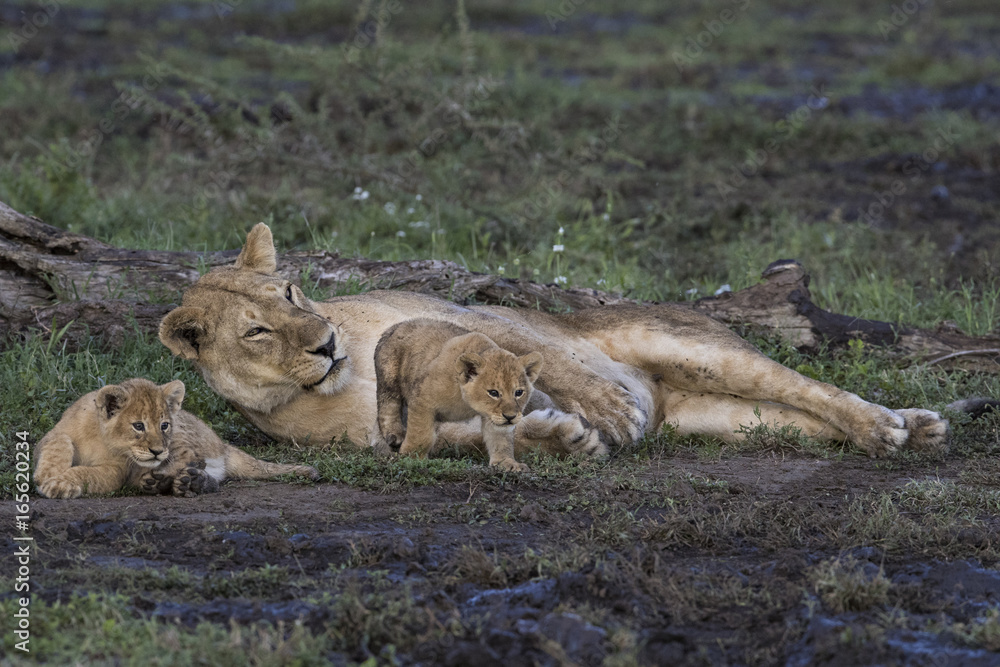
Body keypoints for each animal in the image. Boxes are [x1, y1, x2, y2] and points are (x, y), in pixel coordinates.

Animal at [34, 378, 318, 499]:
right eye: (138, 426)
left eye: (164, 425)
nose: (157, 451)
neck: (100, 437)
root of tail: (223, 444)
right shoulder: (52, 434)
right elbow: (60, 443)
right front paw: (47, 474)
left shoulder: (117, 471)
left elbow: (86, 473)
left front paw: (60, 483)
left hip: (185, 439)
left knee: (193, 460)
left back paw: (166, 480)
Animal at [376, 318, 585, 471]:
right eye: (493, 393)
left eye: (518, 392)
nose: (510, 417)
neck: (464, 400)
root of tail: (397, 325)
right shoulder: (422, 400)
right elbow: (421, 434)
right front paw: (411, 457)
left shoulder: (496, 418)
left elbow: (500, 441)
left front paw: (506, 463)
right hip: (389, 377)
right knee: (388, 405)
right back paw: (394, 435)